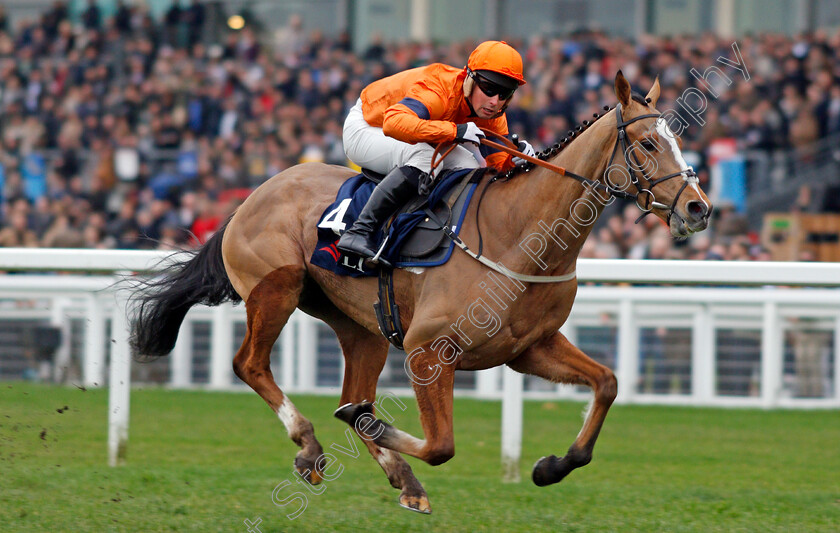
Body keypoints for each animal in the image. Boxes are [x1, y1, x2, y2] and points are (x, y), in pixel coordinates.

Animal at [130, 72, 708, 512]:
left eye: (678, 139)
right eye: (648, 144)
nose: (698, 208)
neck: (520, 235)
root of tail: (251, 196)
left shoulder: (528, 348)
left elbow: (607, 383)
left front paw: (551, 466)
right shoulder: (428, 349)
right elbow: (441, 444)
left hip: (360, 326)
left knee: (350, 391)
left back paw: (399, 476)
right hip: (276, 288)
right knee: (250, 364)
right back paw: (311, 446)